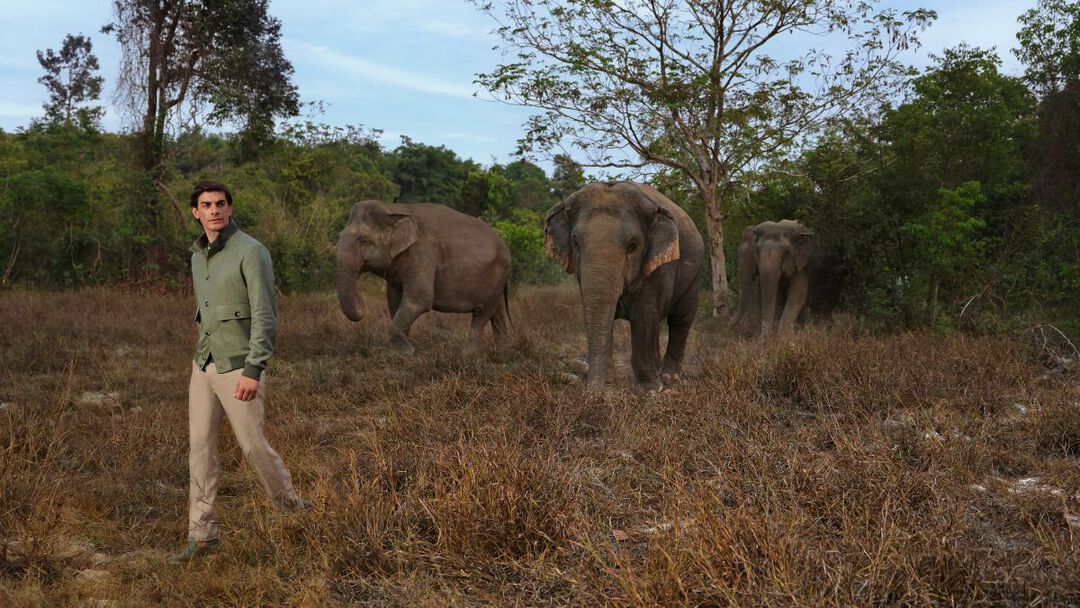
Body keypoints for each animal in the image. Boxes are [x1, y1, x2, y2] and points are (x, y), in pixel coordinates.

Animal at [335, 200, 512, 352]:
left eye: (364, 240)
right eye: (339, 236)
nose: (362, 303)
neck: (393, 208)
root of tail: (507, 250)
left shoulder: (422, 255)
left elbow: (419, 299)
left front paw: (409, 352)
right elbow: (394, 301)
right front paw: (400, 350)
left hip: (497, 275)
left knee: (482, 313)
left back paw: (467, 355)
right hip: (497, 281)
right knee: (498, 312)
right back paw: (502, 351)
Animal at [544, 182, 704, 390]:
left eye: (632, 246)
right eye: (575, 242)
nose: (592, 392)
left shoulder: (657, 269)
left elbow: (644, 316)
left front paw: (649, 390)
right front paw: (610, 383)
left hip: (695, 275)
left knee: (680, 319)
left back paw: (670, 377)